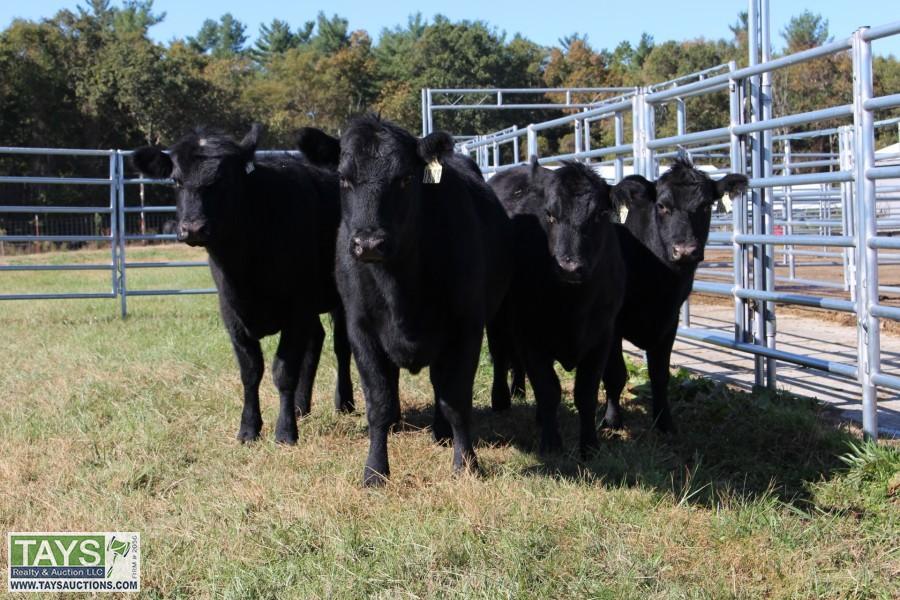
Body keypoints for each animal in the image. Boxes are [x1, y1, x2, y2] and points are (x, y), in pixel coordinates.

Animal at [131, 125, 354, 447]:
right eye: (176, 180)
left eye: (224, 179)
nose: (193, 228)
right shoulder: (231, 314)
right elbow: (250, 372)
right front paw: (249, 428)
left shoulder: (296, 310)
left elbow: (283, 371)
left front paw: (285, 431)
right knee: (316, 341)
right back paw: (301, 406)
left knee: (341, 346)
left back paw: (344, 402)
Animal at [298, 116, 513, 486]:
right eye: (343, 178)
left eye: (404, 179)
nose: (369, 243)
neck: (400, 288)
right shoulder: (361, 329)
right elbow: (379, 403)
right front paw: (374, 472)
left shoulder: (466, 328)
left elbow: (456, 400)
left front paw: (466, 463)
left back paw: (442, 433)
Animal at [489, 158, 625, 455]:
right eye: (550, 214)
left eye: (599, 215)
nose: (569, 267)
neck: (573, 306)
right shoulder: (529, 334)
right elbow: (547, 389)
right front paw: (551, 444)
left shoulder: (602, 336)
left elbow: (585, 392)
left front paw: (589, 446)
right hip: (497, 318)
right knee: (499, 355)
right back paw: (501, 399)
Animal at [602, 157, 747, 433]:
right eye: (661, 206)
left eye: (705, 206)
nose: (685, 250)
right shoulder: (610, 324)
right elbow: (615, 373)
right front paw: (612, 421)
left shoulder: (669, 321)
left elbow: (660, 375)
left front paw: (664, 422)